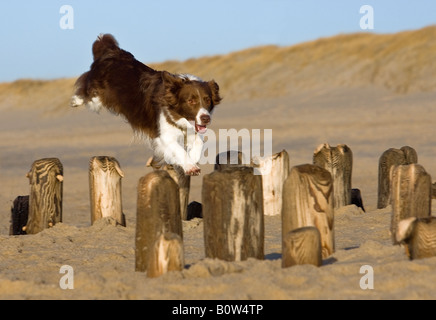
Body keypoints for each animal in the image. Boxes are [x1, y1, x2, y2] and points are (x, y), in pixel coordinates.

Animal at [73, 33, 221, 175]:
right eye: (191, 101)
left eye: (207, 100)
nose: (206, 119)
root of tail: (112, 50)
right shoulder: (164, 135)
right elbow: (179, 150)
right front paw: (190, 167)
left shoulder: (191, 129)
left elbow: (199, 142)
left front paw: (193, 159)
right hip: (96, 96)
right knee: (86, 85)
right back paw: (76, 100)